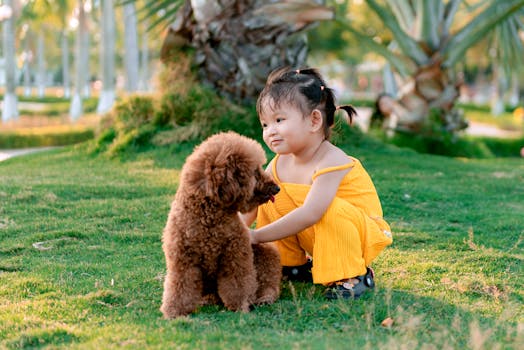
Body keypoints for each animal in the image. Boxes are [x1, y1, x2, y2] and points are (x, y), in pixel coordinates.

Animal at [161, 131, 280, 318]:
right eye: (255, 172)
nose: (276, 188)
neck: (210, 216)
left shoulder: (235, 256)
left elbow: (238, 285)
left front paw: (240, 306)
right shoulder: (183, 261)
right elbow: (180, 288)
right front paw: (174, 312)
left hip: (265, 252)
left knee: (269, 284)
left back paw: (263, 298)